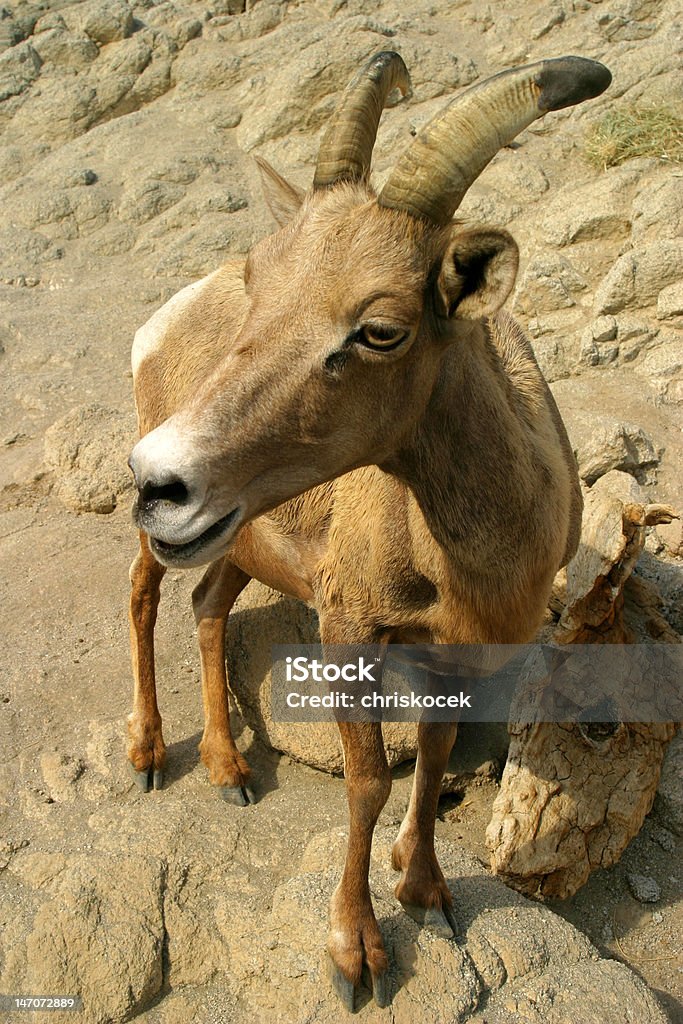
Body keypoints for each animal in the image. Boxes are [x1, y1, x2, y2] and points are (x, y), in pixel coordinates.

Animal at [126, 54, 610, 1007]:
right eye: (259, 282)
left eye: (381, 329)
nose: (161, 481)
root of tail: (159, 325)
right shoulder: (349, 627)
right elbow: (368, 781)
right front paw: (357, 957)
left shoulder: (455, 652)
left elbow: (433, 753)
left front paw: (424, 892)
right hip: (173, 545)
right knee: (142, 596)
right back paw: (151, 755)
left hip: (237, 539)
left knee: (205, 606)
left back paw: (232, 775)